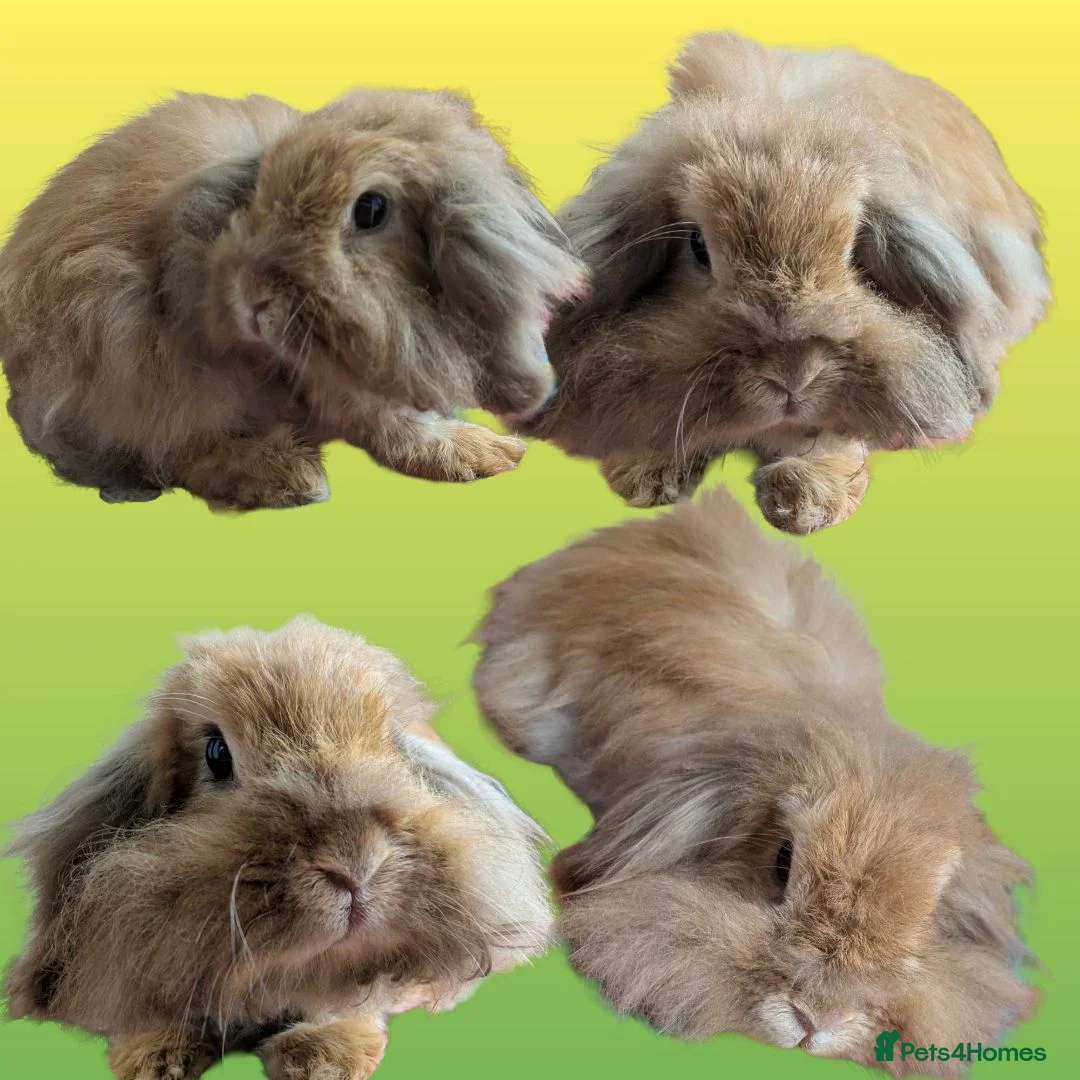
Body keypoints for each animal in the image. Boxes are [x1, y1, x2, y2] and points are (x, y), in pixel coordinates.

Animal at [0, 89, 585, 510]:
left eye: (370, 210)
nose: (252, 298)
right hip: (135, 352)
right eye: (256, 197)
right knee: (182, 450)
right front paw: (484, 453)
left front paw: (483, 452)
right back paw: (286, 474)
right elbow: (391, 423)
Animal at [522, 32, 1049, 533]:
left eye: (855, 249)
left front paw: (806, 502)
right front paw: (646, 476)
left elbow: (834, 433)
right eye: (697, 246)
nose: (792, 375)